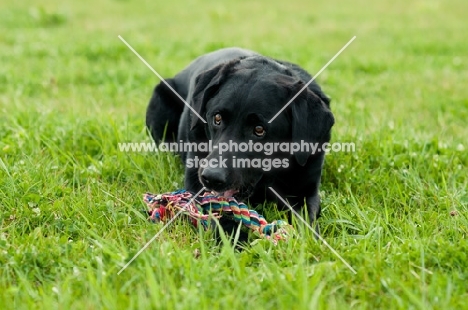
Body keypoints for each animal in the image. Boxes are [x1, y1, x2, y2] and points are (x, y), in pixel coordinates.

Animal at [146, 47, 332, 237]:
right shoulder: (196, 184)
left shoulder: (306, 192)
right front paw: (238, 241)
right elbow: (219, 220)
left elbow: (307, 225)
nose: (211, 177)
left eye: (259, 129)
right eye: (217, 118)